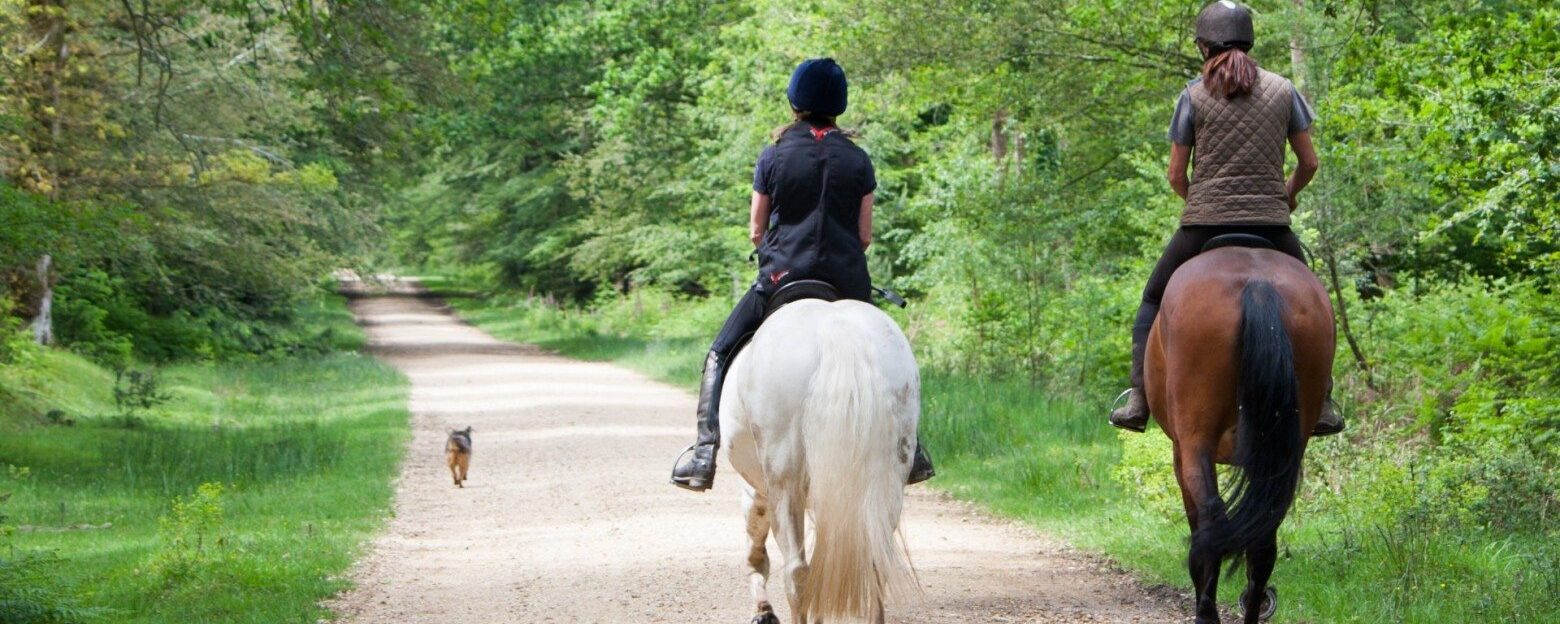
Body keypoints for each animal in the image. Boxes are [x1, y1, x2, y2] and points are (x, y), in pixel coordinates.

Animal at [720, 297, 923, 624]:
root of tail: (836, 329)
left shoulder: (756, 490)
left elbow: (756, 551)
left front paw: (763, 609)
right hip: (888, 480)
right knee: (874, 560)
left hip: (784, 483)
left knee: (797, 571)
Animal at [1148, 243, 1329, 624]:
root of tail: (1258, 285)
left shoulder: (1180, 451)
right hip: (1286, 447)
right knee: (1263, 538)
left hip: (1195, 440)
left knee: (1211, 520)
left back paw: (1206, 613)